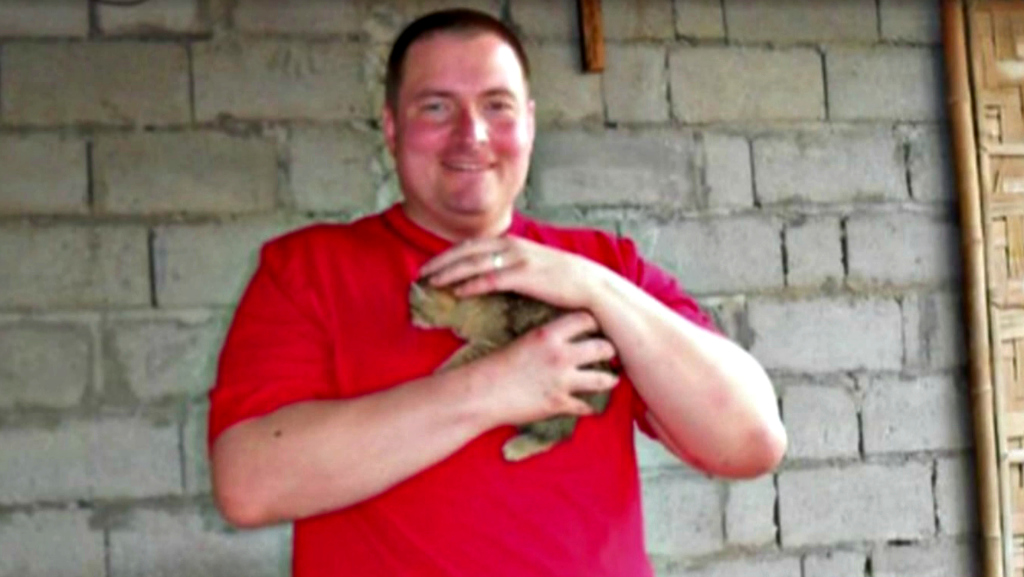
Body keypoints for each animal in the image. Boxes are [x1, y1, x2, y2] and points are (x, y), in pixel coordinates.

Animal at [409, 280, 615, 461]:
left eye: (414, 309)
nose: (411, 320)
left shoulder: (490, 343)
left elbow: (461, 356)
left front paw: (441, 372)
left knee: (555, 434)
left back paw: (519, 447)